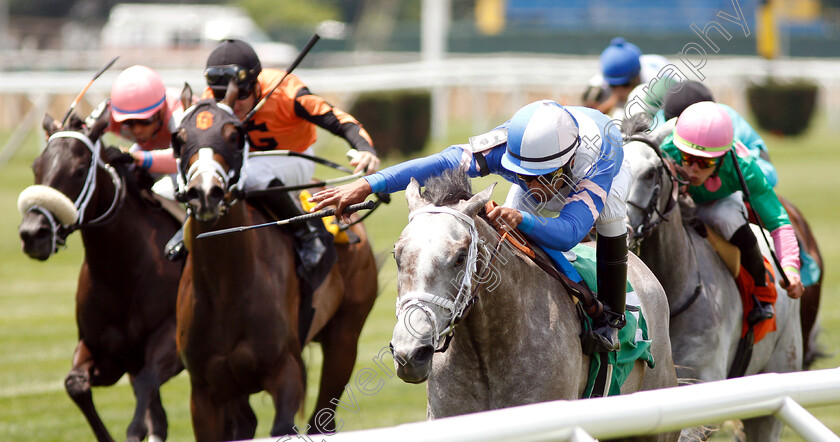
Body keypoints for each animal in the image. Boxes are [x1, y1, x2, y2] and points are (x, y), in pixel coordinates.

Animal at [174, 85, 378, 442]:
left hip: (345, 337)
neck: (226, 290)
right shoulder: (204, 392)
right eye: (180, 138)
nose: (205, 194)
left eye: (233, 135)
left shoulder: (286, 371)